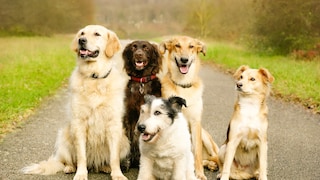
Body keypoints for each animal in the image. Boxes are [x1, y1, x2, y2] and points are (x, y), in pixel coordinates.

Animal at [21, 24, 130, 179]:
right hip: (63, 138)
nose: (81, 40)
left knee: (106, 159)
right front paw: (81, 174)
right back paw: (70, 168)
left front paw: (117, 174)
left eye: (97, 34)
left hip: (125, 142)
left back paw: (105, 167)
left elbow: (114, 157)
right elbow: (81, 156)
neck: (94, 77)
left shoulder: (113, 124)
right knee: (68, 161)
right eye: (82, 33)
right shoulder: (79, 123)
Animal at [121, 40, 161, 168]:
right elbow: (129, 138)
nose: (138, 54)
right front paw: (126, 162)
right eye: (133, 47)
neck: (141, 82)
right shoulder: (129, 116)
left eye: (146, 48)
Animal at [159, 35, 220, 179]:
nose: (184, 60)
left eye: (191, 46)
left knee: (215, 157)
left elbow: (197, 153)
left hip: (204, 135)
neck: (183, 85)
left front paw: (200, 174)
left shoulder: (195, 122)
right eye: (177, 45)